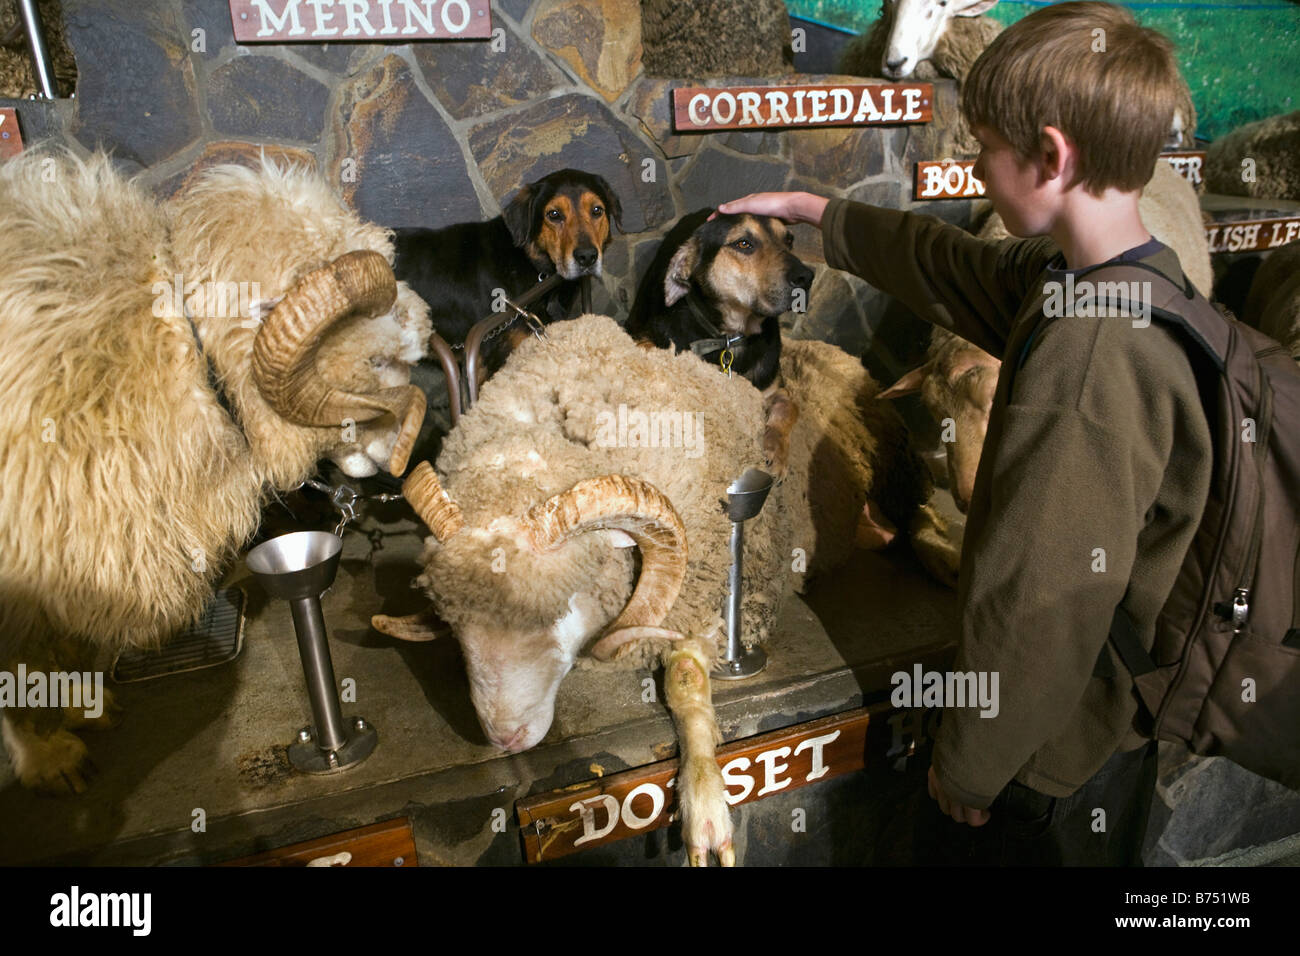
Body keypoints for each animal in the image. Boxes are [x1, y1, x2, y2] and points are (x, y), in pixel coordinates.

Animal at [371, 314, 961, 868]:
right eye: (453, 623)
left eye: (557, 608)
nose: (503, 739)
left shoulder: (709, 594)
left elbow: (685, 682)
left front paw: (706, 805)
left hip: (897, 462)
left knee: (919, 514)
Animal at [626, 210, 811, 478]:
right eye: (743, 244)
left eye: (789, 240)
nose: (807, 276)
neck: (731, 335)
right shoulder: (653, 338)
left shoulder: (776, 389)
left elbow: (789, 408)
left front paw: (776, 451)